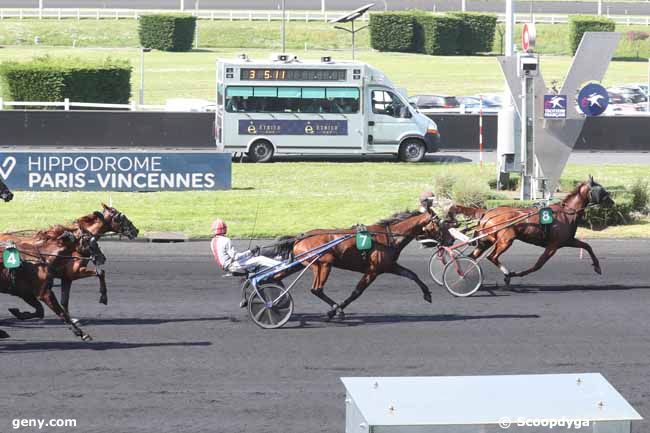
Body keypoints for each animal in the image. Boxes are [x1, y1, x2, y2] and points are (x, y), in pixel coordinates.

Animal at [268, 201, 440, 318]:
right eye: (438, 222)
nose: (445, 239)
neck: (388, 236)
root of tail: (300, 237)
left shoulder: (390, 266)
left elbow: (412, 274)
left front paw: (427, 294)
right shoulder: (373, 270)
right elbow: (357, 292)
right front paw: (334, 311)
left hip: (301, 263)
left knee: (277, 276)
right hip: (323, 263)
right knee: (316, 289)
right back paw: (336, 308)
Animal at [454, 176, 612, 286]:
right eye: (601, 190)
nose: (612, 202)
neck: (566, 213)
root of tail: (487, 212)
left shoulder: (567, 240)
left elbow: (587, 246)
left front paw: (597, 267)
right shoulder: (554, 245)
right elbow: (538, 265)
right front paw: (516, 274)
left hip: (485, 240)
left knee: (473, 256)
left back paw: (464, 275)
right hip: (505, 240)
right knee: (491, 257)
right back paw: (506, 274)